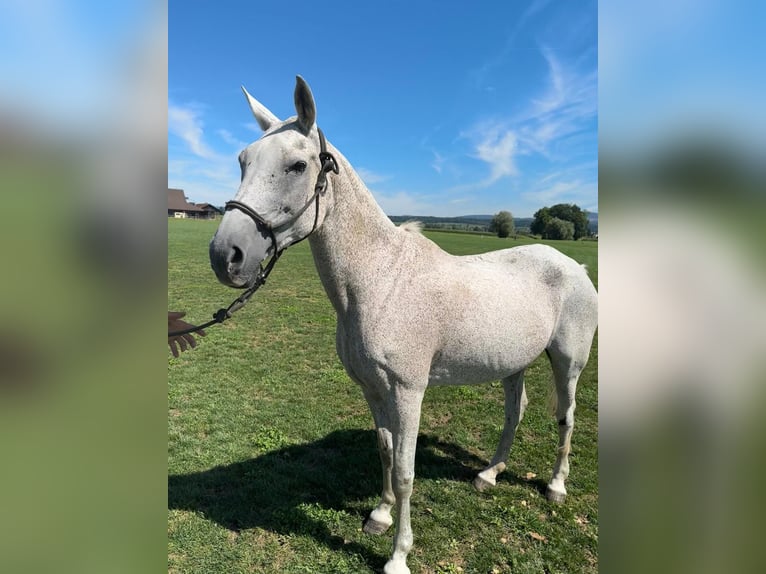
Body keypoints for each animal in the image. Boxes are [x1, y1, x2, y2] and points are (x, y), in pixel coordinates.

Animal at [208, 76, 600, 574]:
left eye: (298, 165)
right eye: (243, 161)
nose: (226, 255)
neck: (381, 279)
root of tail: (575, 267)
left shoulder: (409, 391)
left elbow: (407, 471)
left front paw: (398, 555)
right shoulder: (373, 389)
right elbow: (386, 452)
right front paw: (379, 514)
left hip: (568, 362)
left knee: (566, 417)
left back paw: (555, 485)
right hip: (513, 363)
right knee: (516, 412)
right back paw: (489, 474)